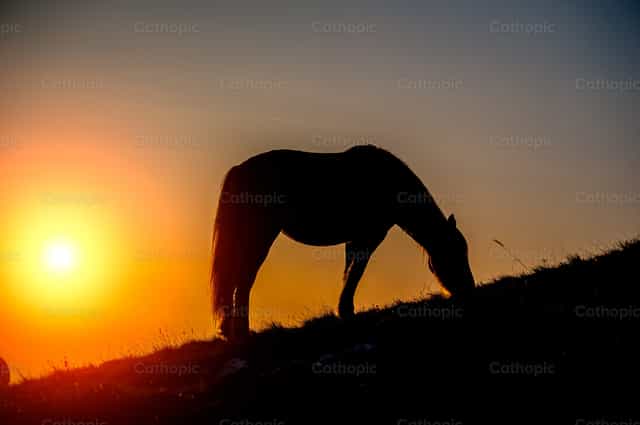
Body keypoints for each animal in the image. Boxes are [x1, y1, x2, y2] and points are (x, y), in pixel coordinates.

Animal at [210, 144, 475, 340]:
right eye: (454, 253)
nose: (468, 290)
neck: (388, 182)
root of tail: (239, 170)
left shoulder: (354, 239)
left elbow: (348, 272)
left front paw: (344, 310)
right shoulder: (369, 236)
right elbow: (357, 271)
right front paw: (347, 311)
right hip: (259, 237)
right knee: (243, 280)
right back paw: (241, 332)